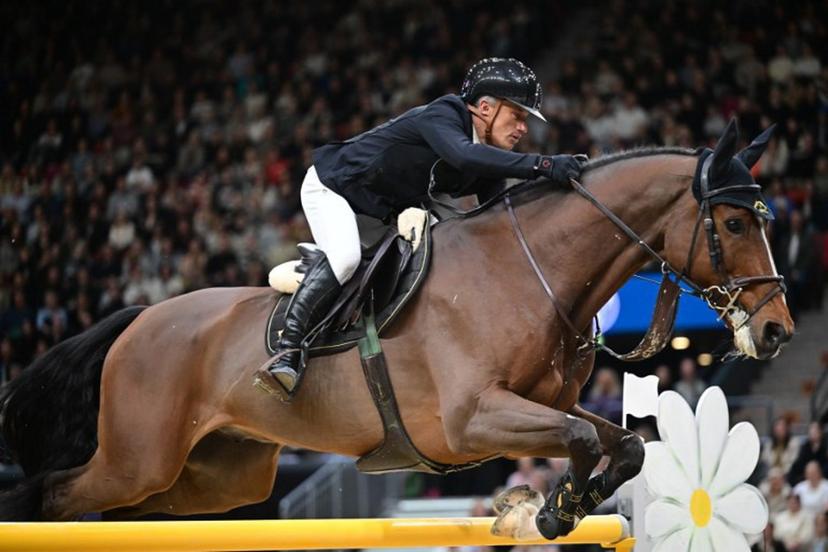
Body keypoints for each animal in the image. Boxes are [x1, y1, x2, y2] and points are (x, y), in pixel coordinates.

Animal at [0, 120, 793, 540]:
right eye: (732, 223)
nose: (778, 332)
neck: (528, 269)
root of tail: (140, 317)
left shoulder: (541, 404)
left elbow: (619, 443)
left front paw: (558, 509)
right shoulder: (472, 420)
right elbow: (578, 438)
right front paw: (543, 510)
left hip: (212, 478)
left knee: (115, 509)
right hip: (140, 455)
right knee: (54, 496)